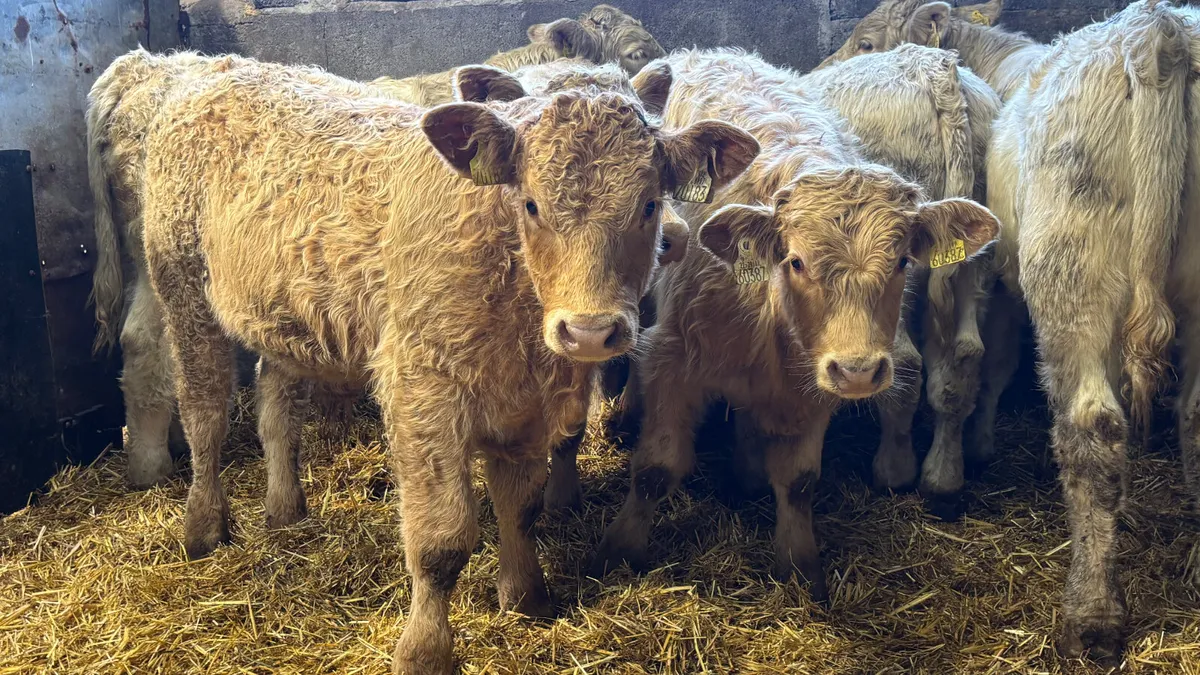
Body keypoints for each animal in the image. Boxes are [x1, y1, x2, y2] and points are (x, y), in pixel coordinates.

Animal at [138, 58, 758, 674]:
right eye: (531, 204)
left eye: (649, 204)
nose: (588, 331)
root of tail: (217, 69)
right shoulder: (422, 391)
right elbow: (441, 542)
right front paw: (425, 650)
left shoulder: (526, 405)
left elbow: (521, 505)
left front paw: (526, 596)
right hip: (183, 289)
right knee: (205, 414)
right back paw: (203, 527)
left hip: (286, 320)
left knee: (275, 412)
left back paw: (285, 510)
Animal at [589, 48, 998, 600]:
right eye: (797, 261)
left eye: (901, 262)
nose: (859, 372)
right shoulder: (673, 357)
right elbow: (656, 469)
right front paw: (618, 551)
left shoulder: (815, 381)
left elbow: (799, 480)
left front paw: (801, 568)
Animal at [824, 0, 1195, 663]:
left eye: (864, 42)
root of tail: (1160, 33)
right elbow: (991, 364)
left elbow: (990, 363)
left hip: (1065, 271)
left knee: (1088, 425)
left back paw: (1090, 616)